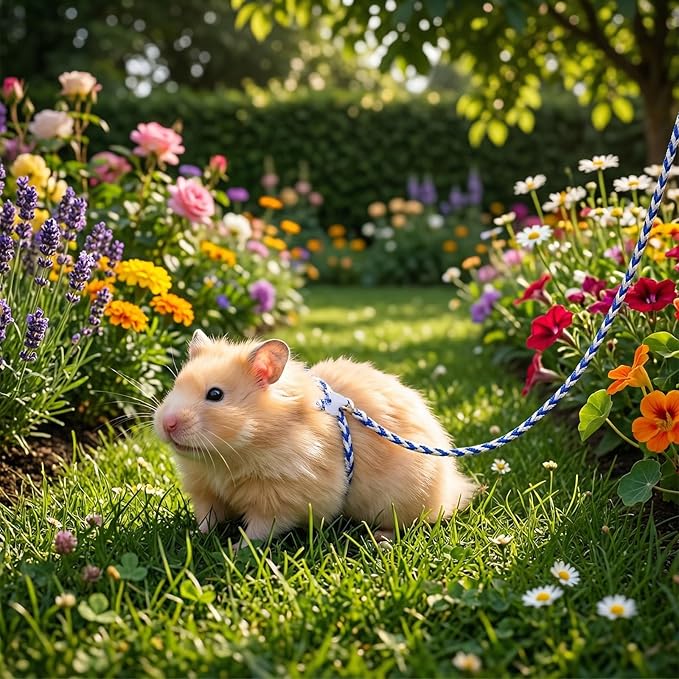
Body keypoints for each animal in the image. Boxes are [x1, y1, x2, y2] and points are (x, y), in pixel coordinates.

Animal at [153, 330, 477, 542]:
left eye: (215, 395)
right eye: (175, 385)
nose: (167, 424)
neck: (224, 457)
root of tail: (454, 484)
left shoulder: (279, 498)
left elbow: (259, 529)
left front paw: (235, 549)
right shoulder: (205, 490)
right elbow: (207, 517)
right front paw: (196, 537)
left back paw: (380, 538)